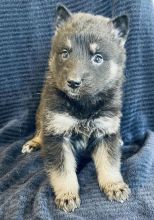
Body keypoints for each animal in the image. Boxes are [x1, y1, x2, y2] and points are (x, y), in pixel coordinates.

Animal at [22, 3, 131, 212]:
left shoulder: (106, 131)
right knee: (40, 130)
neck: (83, 105)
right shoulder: (57, 134)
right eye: (65, 53)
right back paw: (34, 142)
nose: (73, 82)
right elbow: (62, 170)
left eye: (98, 58)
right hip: (42, 114)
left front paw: (114, 185)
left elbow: (109, 163)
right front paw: (67, 195)